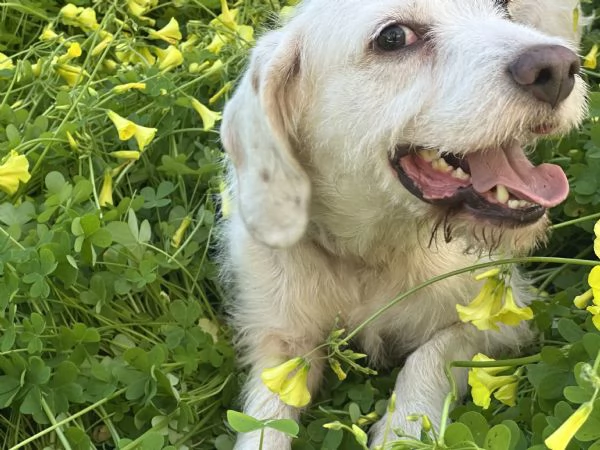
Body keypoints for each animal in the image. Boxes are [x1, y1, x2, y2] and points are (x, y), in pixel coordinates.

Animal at [219, 1, 584, 448]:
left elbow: (428, 358)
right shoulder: (279, 341)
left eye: (502, 8)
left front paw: (402, 430)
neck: (372, 253)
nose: (559, 69)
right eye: (393, 37)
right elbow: (263, 423)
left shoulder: (499, 315)